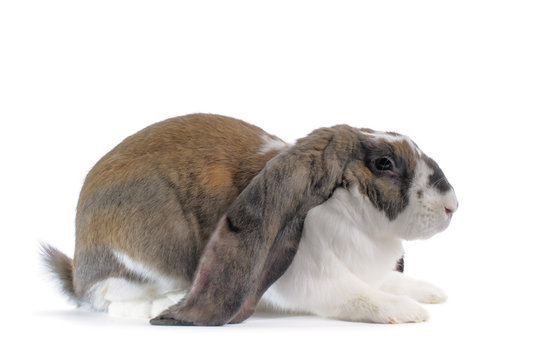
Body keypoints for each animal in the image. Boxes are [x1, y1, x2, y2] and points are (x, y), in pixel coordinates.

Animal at [43, 113, 460, 326]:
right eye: (384, 164)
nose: (452, 206)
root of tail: (78, 270)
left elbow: (386, 281)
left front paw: (431, 293)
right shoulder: (314, 278)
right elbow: (355, 295)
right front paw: (406, 312)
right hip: (153, 250)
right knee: (108, 297)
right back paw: (162, 303)